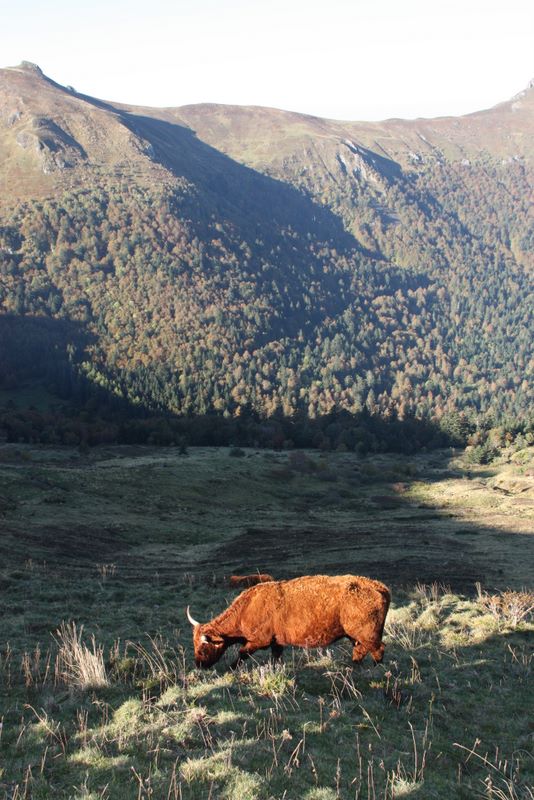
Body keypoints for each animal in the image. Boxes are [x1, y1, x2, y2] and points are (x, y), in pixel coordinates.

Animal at [186, 576, 392, 668]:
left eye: (203, 648)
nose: (198, 665)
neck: (247, 608)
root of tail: (380, 587)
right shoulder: (276, 643)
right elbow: (275, 657)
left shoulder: (259, 641)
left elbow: (242, 653)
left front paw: (231, 668)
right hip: (355, 636)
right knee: (360, 650)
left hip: (367, 634)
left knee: (378, 649)